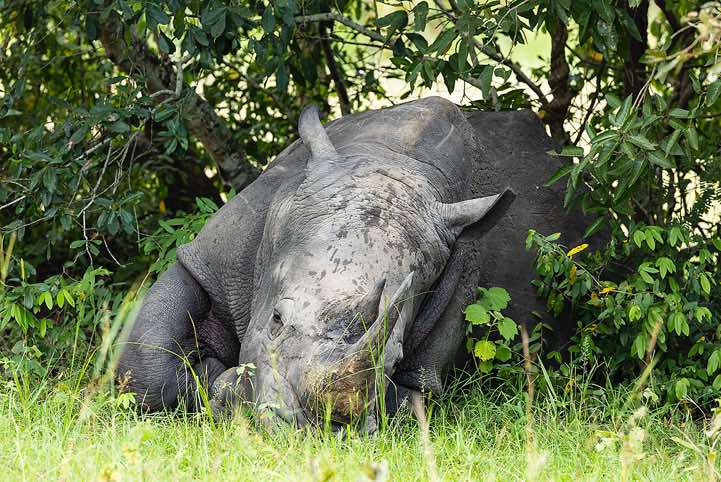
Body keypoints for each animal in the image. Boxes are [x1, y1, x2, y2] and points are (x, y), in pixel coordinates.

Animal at [116, 97, 583, 429]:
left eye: (394, 358)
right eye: (276, 318)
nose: (306, 430)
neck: (393, 160)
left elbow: (406, 400)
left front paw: (228, 389)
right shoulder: (212, 257)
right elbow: (147, 360)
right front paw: (222, 386)